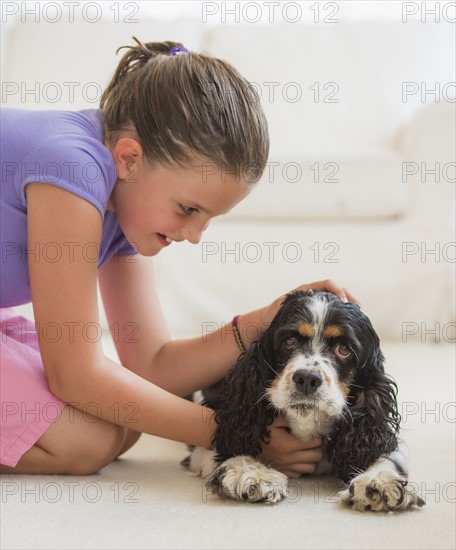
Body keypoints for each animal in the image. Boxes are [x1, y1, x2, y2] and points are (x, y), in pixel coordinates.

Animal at [183, 292, 426, 512]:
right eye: (289, 341)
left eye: (344, 349)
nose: (307, 379)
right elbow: (233, 445)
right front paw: (253, 473)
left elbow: (387, 454)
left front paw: (378, 482)